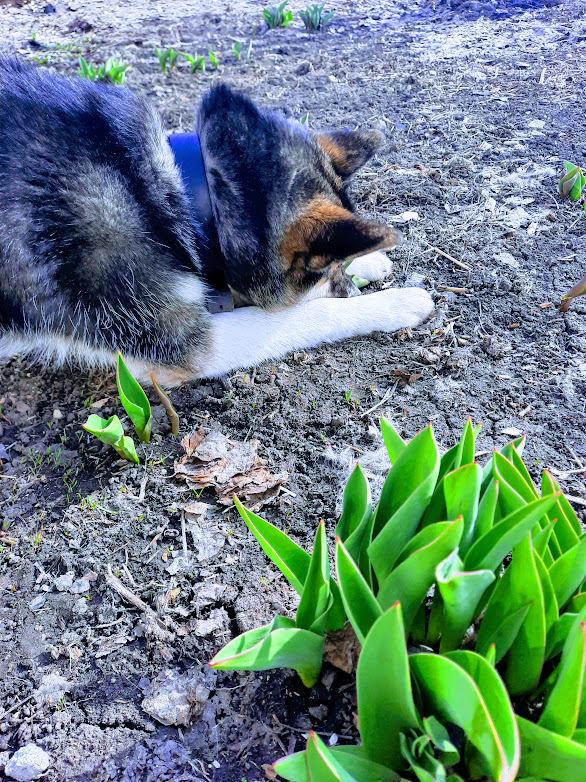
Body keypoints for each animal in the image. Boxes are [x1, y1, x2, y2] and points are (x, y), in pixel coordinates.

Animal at [0, 58, 428, 386]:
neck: (182, 195)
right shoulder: (180, 339)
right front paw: (395, 301)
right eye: (317, 272)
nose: (348, 289)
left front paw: (370, 262)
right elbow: (310, 315)